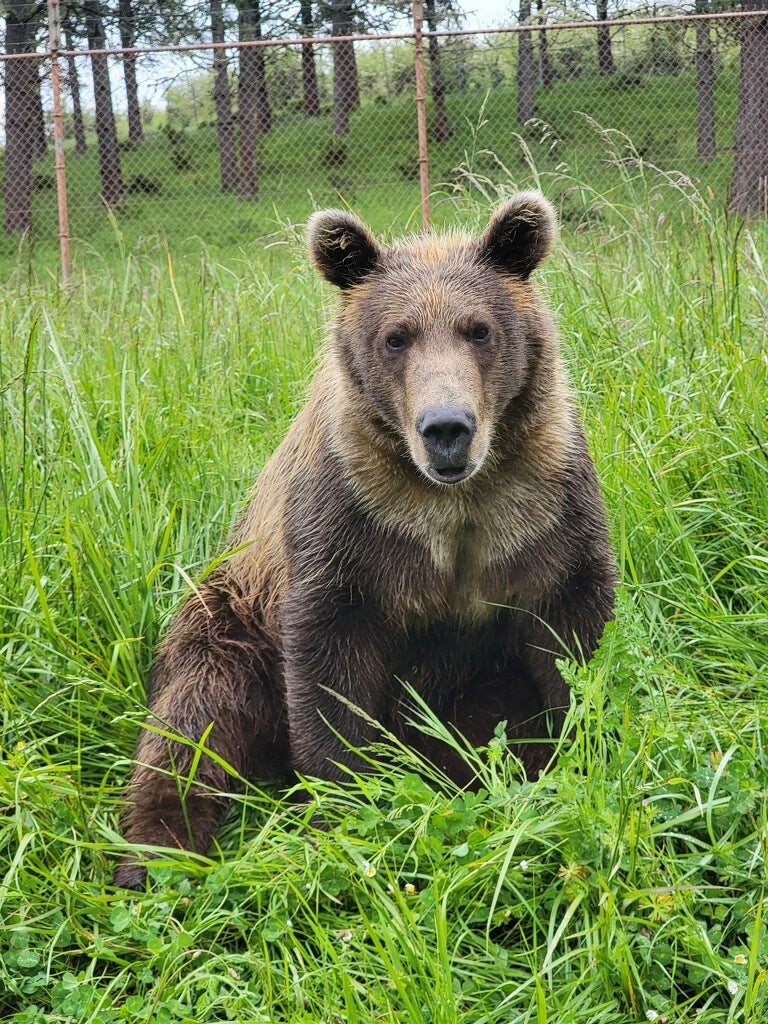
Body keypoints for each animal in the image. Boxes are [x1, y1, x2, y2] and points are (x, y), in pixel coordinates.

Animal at [114, 192, 616, 889]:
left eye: (479, 329)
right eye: (395, 337)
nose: (446, 429)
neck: (451, 502)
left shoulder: (540, 508)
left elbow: (570, 638)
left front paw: (575, 755)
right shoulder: (351, 525)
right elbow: (330, 668)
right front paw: (346, 808)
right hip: (228, 616)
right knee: (194, 717)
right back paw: (156, 852)